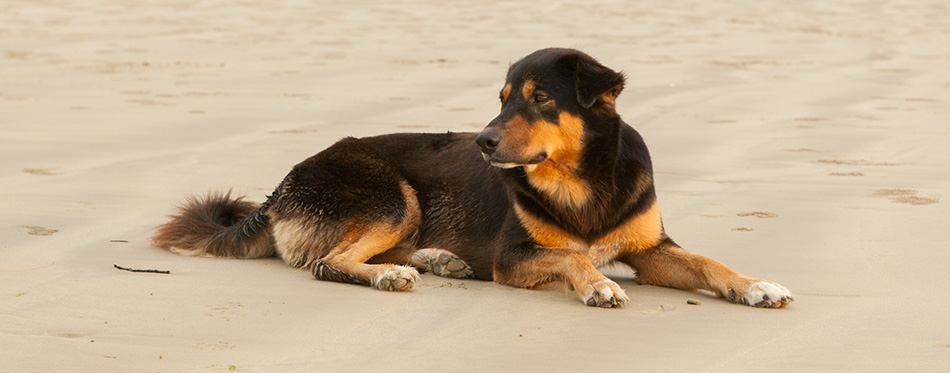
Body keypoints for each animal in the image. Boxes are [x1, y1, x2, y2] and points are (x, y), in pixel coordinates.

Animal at [152, 48, 796, 306]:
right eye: (503, 99)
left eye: (539, 99)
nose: (484, 141)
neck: (582, 180)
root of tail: (281, 187)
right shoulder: (515, 256)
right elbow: (571, 256)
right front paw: (596, 284)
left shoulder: (653, 249)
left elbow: (710, 264)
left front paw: (756, 286)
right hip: (392, 196)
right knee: (329, 261)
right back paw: (390, 275)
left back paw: (437, 259)